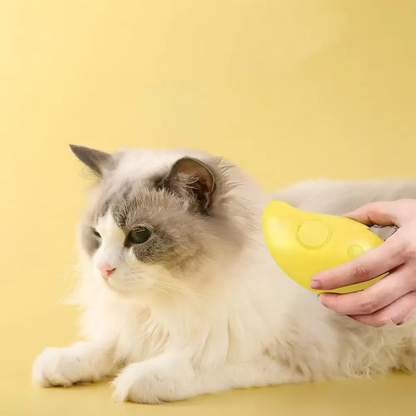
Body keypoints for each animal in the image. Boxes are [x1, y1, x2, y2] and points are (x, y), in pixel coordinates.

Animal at [31, 146, 416, 404]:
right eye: (97, 236)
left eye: (139, 236)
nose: (104, 268)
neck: (171, 301)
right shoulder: (136, 325)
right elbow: (104, 346)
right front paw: (58, 365)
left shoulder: (281, 355)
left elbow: (197, 363)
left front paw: (134, 379)